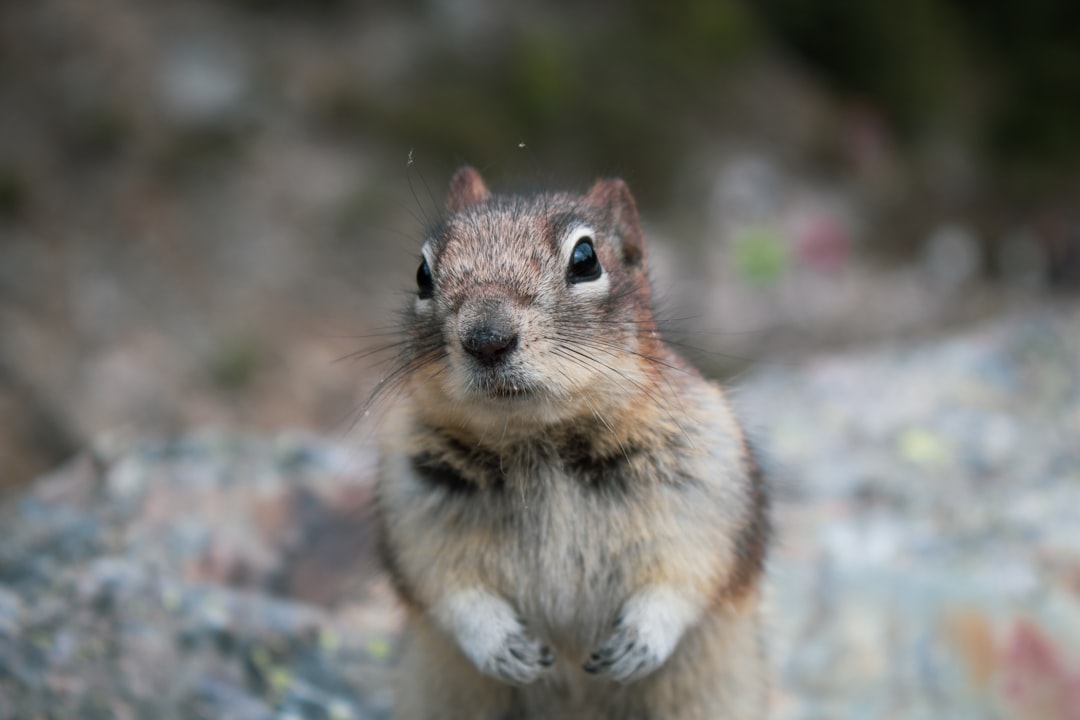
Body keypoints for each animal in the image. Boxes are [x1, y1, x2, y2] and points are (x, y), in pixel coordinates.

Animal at [375, 166, 773, 716]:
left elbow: (686, 575)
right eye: (422, 273)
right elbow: (446, 588)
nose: (487, 340)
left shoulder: (706, 486)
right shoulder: (413, 502)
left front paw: (640, 641)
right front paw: (501, 646)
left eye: (585, 260)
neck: (540, 439)